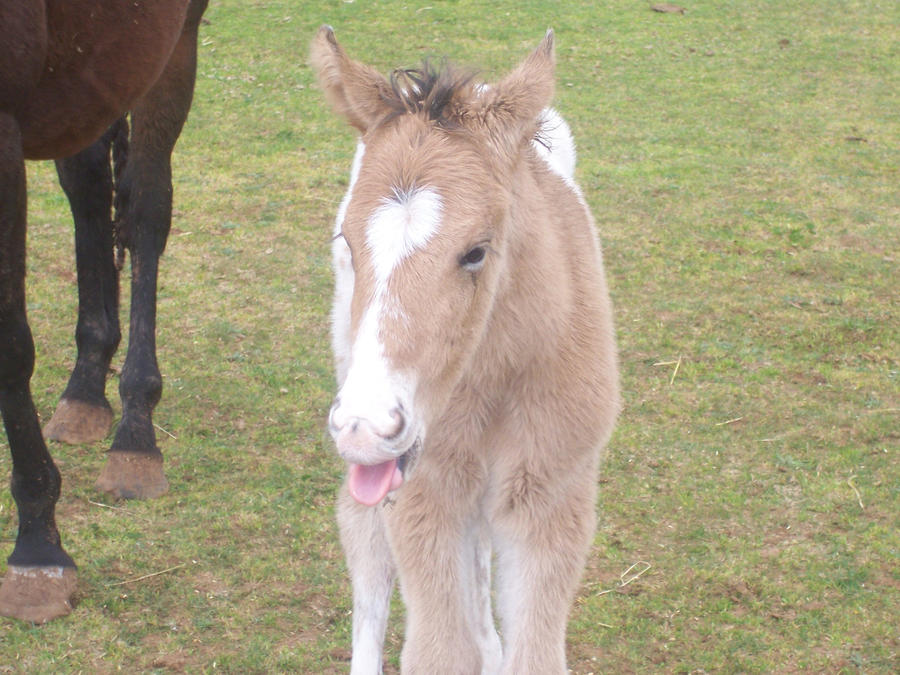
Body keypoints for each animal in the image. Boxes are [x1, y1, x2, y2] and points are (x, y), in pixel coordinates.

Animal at [0, 0, 207, 624]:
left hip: (175, 41)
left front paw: (37, 549)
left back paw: (135, 431)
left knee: (145, 206)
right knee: (89, 184)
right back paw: (86, 388)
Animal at [312, 23, 620, 672]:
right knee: (364, 545)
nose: (366, 427)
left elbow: (534, 656)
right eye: (345, 241)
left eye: (477, 250)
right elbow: (438, 650)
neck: (494, 379)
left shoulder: (553, 496)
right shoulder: (422, 493)